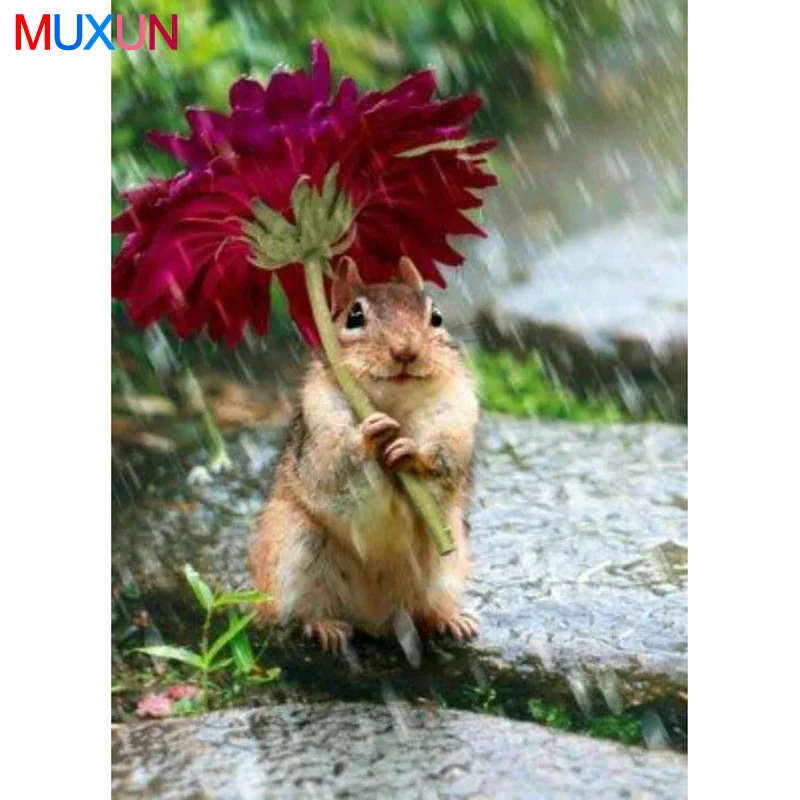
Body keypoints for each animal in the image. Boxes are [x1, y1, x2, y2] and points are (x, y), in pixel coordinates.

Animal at [250, 255, 479, 654]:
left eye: (436, 316)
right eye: (354, 317)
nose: (406, 351)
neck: (393, 404)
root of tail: (376, 620)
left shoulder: (455, 416)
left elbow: (446, 457)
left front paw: (412, 451)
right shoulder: (321, 422)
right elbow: (335, 460)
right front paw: (369, 432)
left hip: (446, 568)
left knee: (427, 610)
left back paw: (451, 620)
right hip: (294, 550)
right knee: (302, 610)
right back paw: (324, 627)